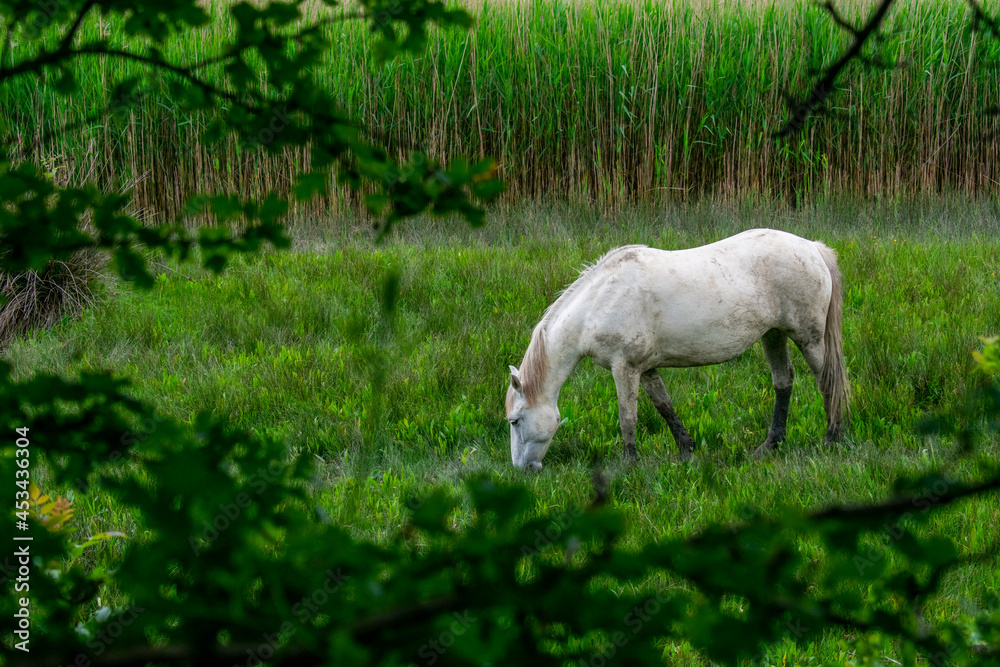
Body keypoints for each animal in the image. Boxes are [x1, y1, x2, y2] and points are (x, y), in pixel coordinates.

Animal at [505, 228, 848, 471]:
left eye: (515, 421)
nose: (522, 469)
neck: (597, 303)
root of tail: (813, 248)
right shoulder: (646, 369)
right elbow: (664, 405)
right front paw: (686, 448)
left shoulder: (625, 368)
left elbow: (627, 417)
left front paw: (629, 464)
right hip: (774, 335)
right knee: (783, 381)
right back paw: (770, 445)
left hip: (808, 337)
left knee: (827, 381)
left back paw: (833, 438)